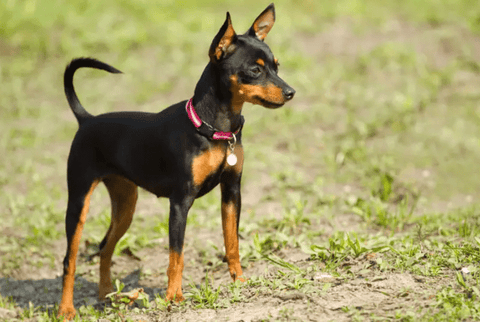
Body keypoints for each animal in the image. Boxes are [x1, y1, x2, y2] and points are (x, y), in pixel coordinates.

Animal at [58, 3, 294, 320]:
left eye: (276, 67)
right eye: (255, 70)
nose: (290, 92)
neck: (214, 128)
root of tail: (87, 120)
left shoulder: (232, 192)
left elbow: (231, 242)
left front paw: (240, 281)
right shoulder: (180, 202)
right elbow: (176, 255)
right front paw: (174, 296)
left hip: (126, 203)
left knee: (105, 247)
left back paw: (108, 296)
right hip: (79, 201)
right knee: (69, 260)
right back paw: (66, 309)